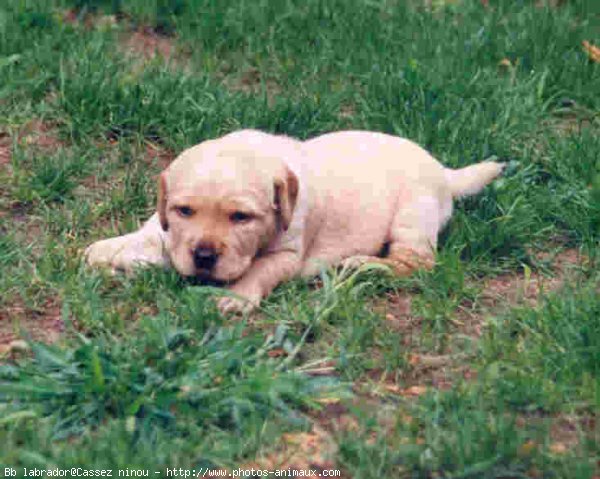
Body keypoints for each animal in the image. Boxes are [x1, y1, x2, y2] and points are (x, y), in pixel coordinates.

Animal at [84, 129, 504, 314]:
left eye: (241, 217)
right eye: (184, 211)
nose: (203, 257)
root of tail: (444, 172)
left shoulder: (288, 253)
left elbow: (260, 270)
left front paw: (236, 295)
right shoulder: (171, 229)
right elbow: (152, 233)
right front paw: (109, 249)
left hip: (412, 212)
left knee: (416, 262)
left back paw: (363, 264)